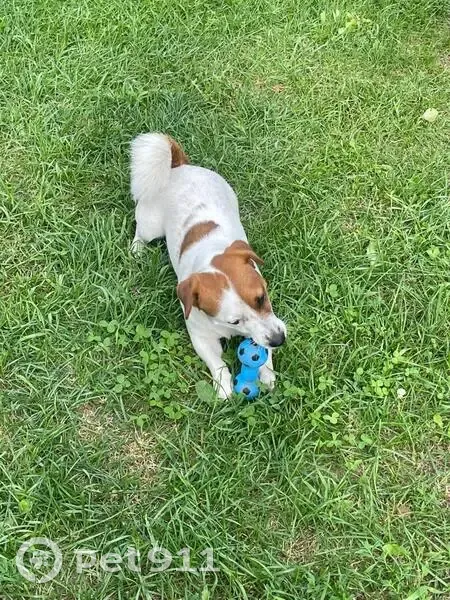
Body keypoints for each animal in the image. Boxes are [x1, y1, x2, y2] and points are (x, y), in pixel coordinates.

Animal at [130, 133, 286, 398]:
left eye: (261, 298)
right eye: (234, 321)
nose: (278, 340)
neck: (209, 255)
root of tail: (178, 167)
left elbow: (265, 355)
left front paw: (266, 374)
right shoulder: (201, 337)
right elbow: (218, 363)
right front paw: (223, 388)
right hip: (150, 227)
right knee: (140, 233)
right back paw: (136, 249)